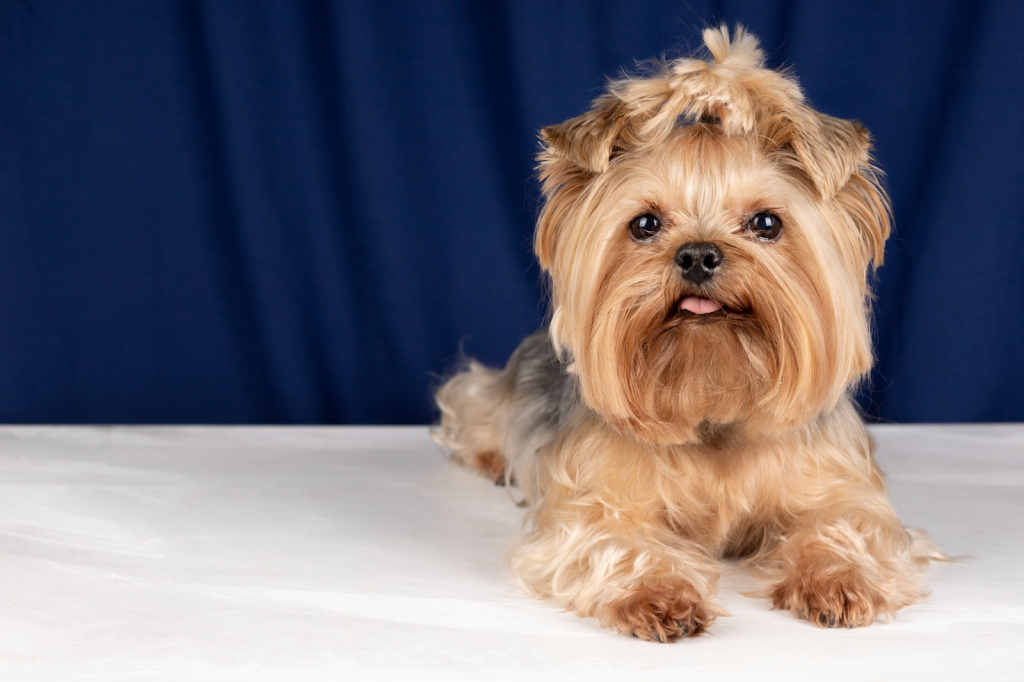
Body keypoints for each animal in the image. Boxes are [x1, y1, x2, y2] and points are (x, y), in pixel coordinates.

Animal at [428, 26, 937, 638]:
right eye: (645, 224)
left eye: (767, 223)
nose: (697, 254)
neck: (710, 397)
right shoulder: (591, 506)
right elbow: (613, 541)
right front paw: (656, 593)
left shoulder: (843, 486)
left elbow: (849, 523)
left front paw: (838, 578)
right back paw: (492, 458)